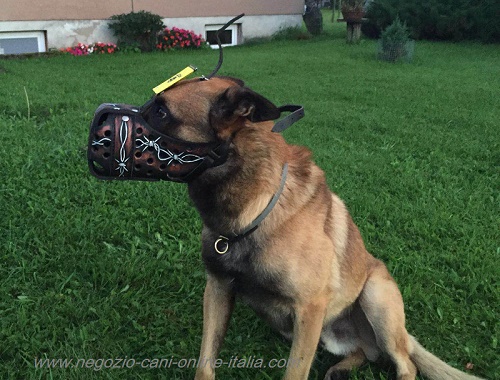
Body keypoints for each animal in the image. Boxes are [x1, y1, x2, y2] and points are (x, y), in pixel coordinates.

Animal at [139, 75, 482, 378]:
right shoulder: (218, 289)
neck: (253, 211)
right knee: (366, 352)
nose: (116, 110)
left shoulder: (309, 308)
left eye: (161, 111)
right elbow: (205, 363)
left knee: (404, 364)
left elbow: (295, 372)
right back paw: (341, 369)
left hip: (374, 299)